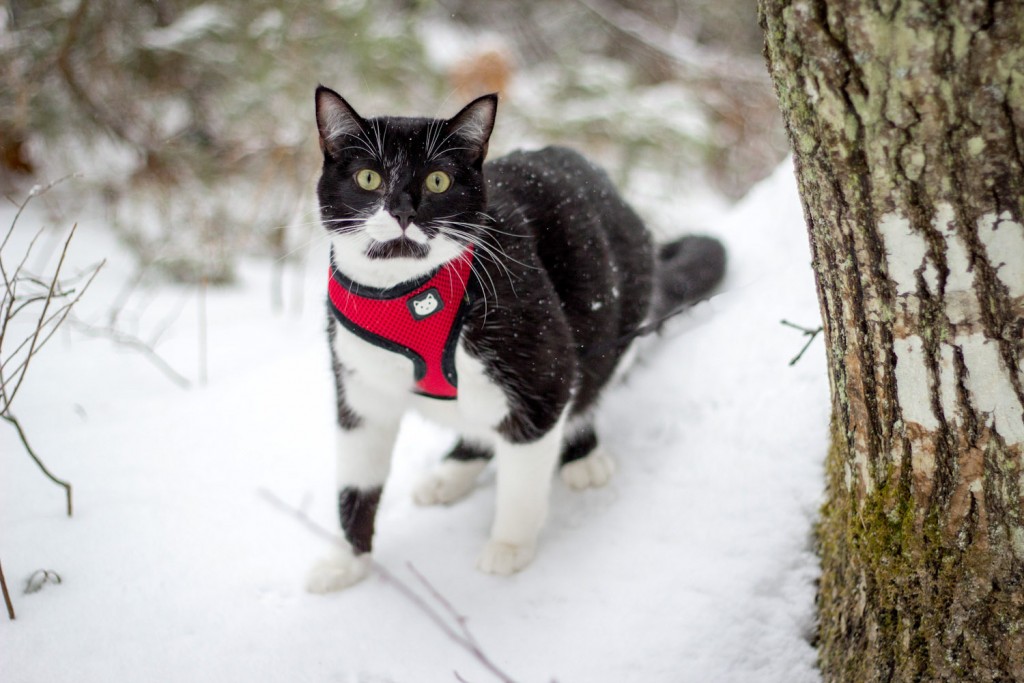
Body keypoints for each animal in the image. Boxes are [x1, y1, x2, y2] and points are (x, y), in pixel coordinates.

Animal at [307, 87, 724, 593]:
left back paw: (581, 454)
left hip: (614, 311)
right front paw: (346, 561)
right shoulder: (360, 393)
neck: (404, 293)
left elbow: (524, 476)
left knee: (584, 388)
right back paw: (452, 471)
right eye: (368, 178)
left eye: (439, 181)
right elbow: (355, 482)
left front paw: (509, 546)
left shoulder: (539, 368)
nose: (404, 211)